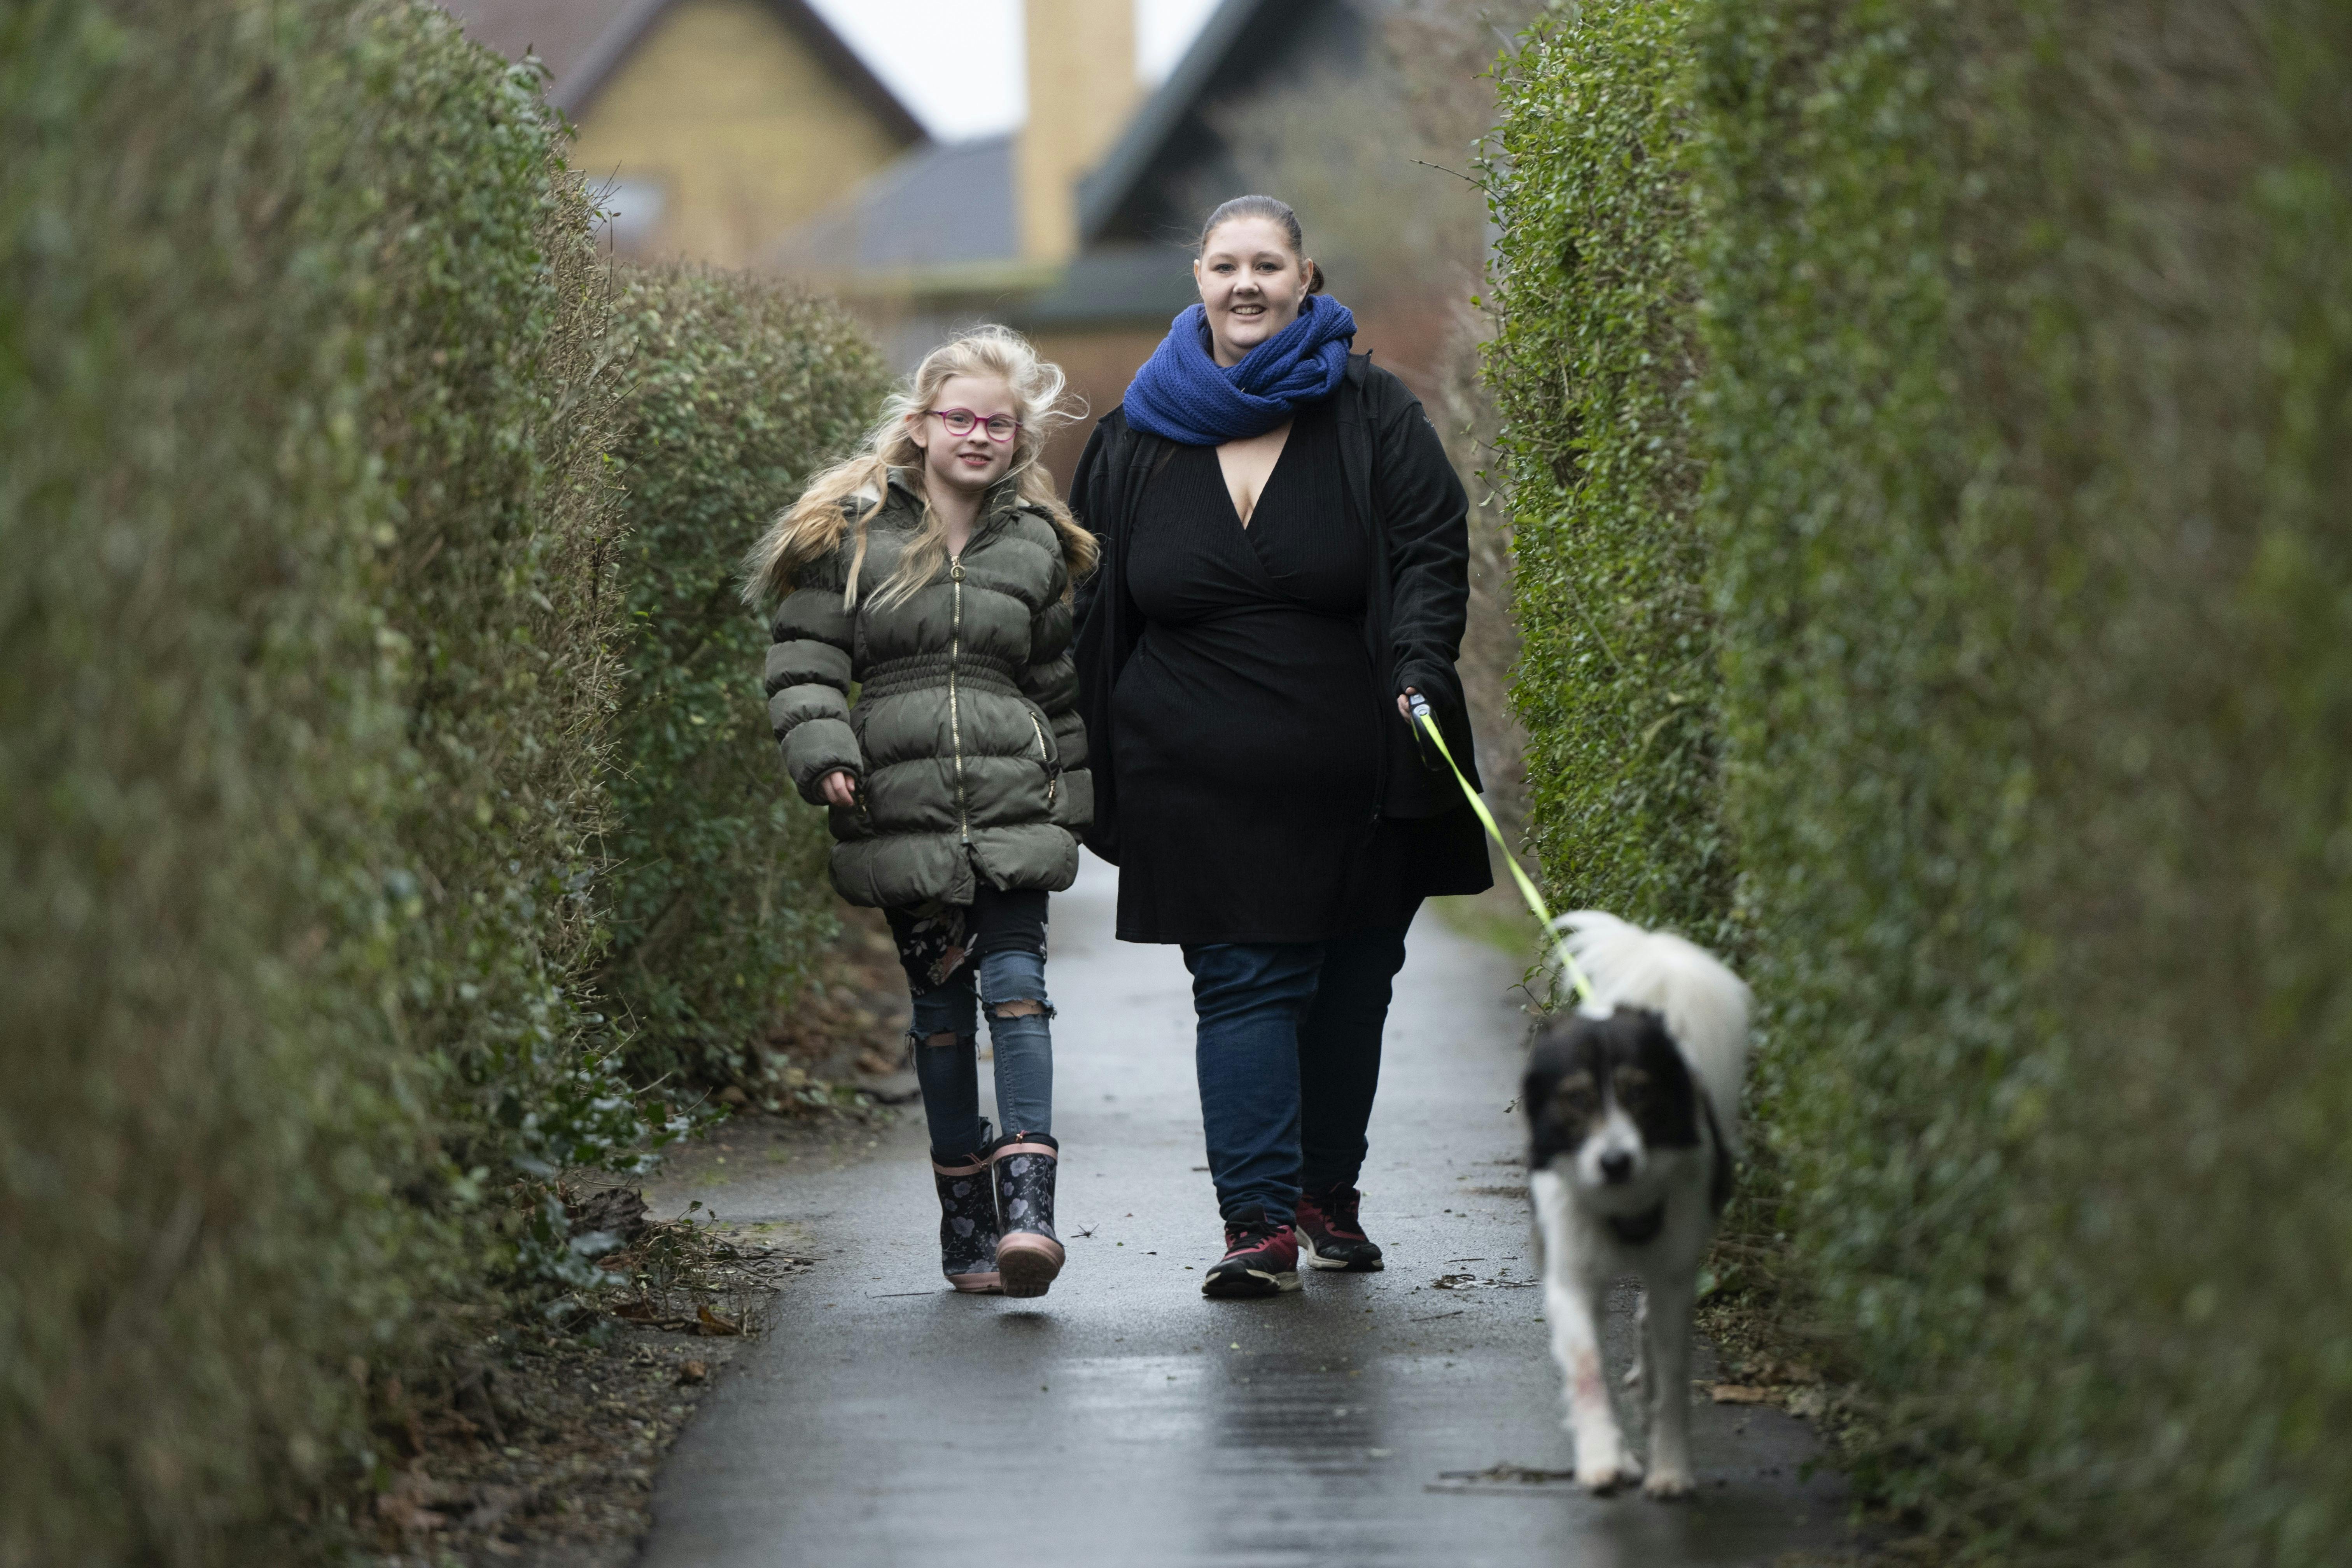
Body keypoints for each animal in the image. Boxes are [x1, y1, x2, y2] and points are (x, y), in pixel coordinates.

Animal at [1524, 912, 1750, 1504]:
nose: (1615, 1161)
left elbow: (1671, 1380)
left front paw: (1670, 1470)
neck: (1623, 1204)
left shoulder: (1673, 1273)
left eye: (1641, 1095)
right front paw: (1605, 1458)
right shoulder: (1572, 1274)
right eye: (1576, 1099)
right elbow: (1586, 1368)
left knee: (1649, 1325)